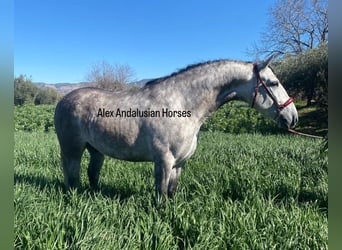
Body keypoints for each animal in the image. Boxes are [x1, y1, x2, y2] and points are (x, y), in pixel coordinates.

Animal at [53, 53, 296, 198]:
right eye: (274, 83)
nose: (293, 117)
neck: (182, 103)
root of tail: (63, 100)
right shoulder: (164, 160)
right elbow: (160, 193)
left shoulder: (180, 163)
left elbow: (171, 191)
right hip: (72, 150)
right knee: (72, 177)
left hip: (96, 150)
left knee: (92, 174)